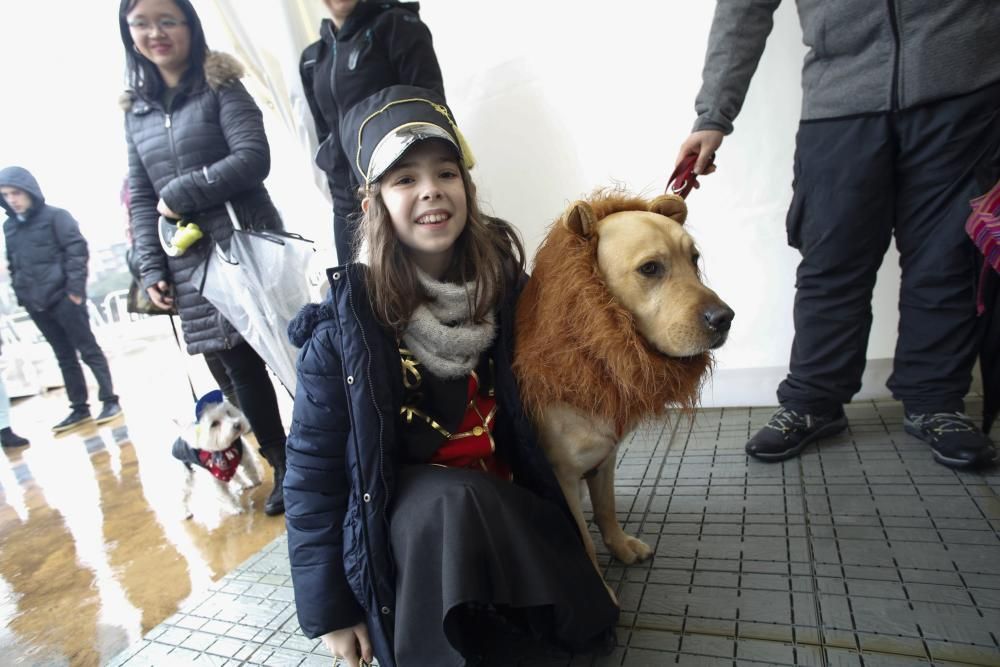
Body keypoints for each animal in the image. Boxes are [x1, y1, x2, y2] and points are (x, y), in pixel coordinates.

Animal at [174, 388, 264, 520]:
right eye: (214, 423)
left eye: (228, 412)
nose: (237, 425)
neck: (224, 449)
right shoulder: (216, 477)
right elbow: (226, 495)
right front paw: (235, 508)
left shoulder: (242, 454)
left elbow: (249, 468)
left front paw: (255, 480)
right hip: (185, 478)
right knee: (182, 497)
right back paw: (185, 513)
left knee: (235, 475)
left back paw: (245, 484)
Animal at [516, 190, 736, 592]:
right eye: (650, 269)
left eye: (694, 259)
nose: (725, 318)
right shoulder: (562, 476)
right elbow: (583, 542)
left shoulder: (605, 459)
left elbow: (607, 509)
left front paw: (620, 546)